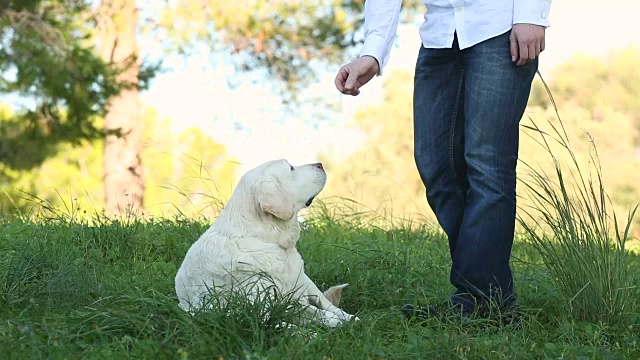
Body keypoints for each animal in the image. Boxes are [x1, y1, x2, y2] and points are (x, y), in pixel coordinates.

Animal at [175, 159, 360, 328]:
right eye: (291, 168)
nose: (320, 164)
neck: (266, 238)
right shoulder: (257, 312)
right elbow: (289, 325)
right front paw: (313, 332)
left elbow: (316, 311)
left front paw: (338, 320)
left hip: (304, 280)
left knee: (325, 302)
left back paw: (349, 317)